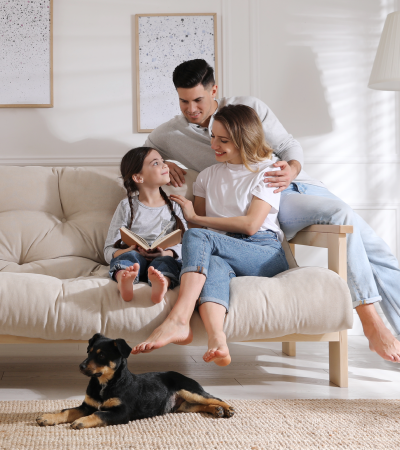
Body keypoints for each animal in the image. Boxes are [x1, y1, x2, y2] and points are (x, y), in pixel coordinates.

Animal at [36, 334, 234, 428]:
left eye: (101, 355)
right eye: (89, 351)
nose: (81, 366)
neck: (104, 384)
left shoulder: (121, 412)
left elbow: (99, 414)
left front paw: (81, 422)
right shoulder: (87, 405)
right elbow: (67, 411)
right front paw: (47, 417)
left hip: (189, 390)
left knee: (213, 398)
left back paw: (227, 409)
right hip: (182, 405)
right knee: (200, 405)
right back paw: (216, 411)